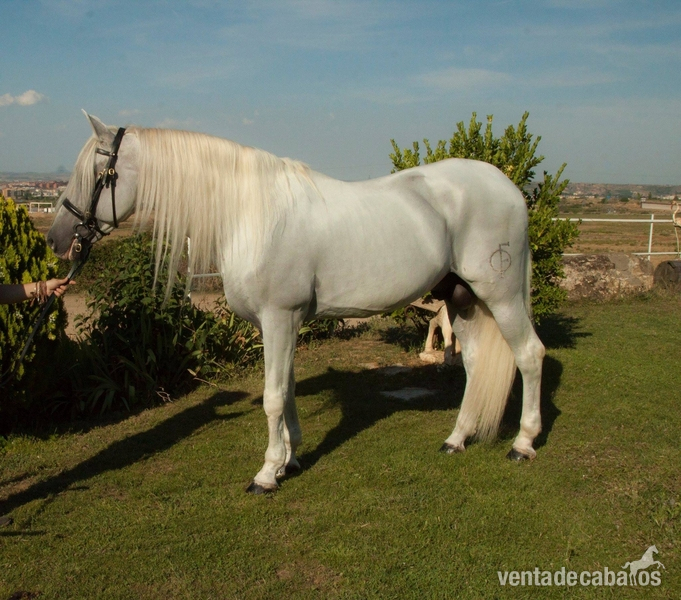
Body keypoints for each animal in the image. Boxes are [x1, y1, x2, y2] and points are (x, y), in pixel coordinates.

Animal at [47, 112, 545, 493]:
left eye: (99, 175)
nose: (57, 239)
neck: (252, 215)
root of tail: (507, 188)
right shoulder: (279, 325)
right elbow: (285, 390)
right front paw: (290, 460)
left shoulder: (279, 319)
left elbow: (271, 398)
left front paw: (267, 474)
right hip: (463, 299)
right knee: (476, 365)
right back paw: (456, 438)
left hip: (499, 296)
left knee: (529, 355)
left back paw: (522, 444)